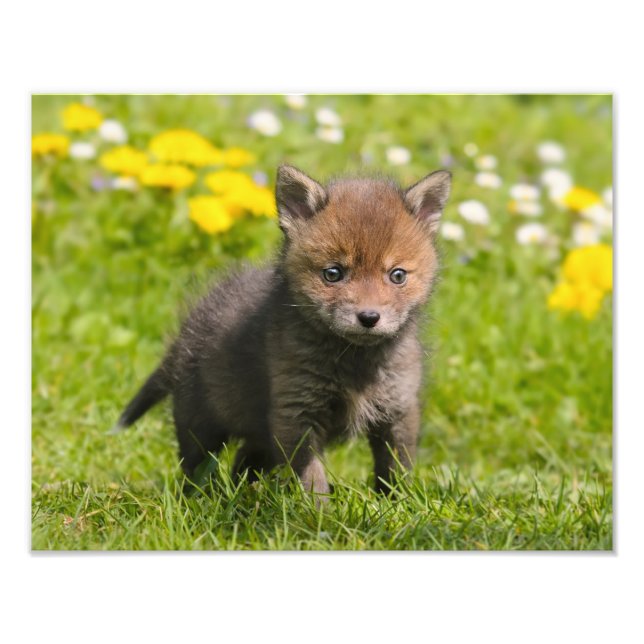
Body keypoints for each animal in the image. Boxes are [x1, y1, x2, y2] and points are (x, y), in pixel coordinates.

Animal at [113, 164, 451, 496]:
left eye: (397, 275)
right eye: (333, 273)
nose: (369, 317)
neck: (355, 364)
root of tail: (185, 332)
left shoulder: (398, 409)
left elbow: (395, 469)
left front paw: (396, 504)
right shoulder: (295, 412)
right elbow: (312, 478)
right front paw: (319, 512)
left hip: (259, 436)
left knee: (243, 462)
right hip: (201, 425)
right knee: (196, 469)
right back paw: (202, 499)